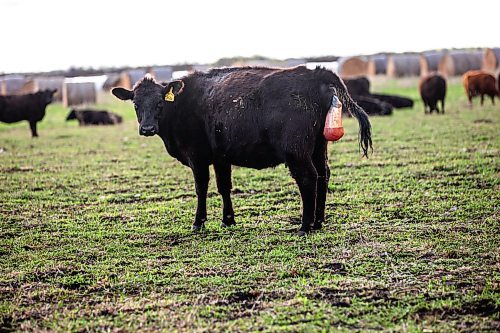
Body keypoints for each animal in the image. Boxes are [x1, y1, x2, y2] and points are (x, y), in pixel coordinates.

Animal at [112, 66, 372, 235]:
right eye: (135, 104)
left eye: (160, 103)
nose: (147, 128)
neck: (182, 105)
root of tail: (315, 73)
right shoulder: (221, 157)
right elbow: (224, 187)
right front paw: (228, 220)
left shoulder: (197, 156)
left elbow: (201, 188)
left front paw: (198, 222)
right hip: (318, 146)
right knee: (323, 175)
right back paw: (318, 221)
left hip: (297, 151)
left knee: (308, 178)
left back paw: (305, 226)